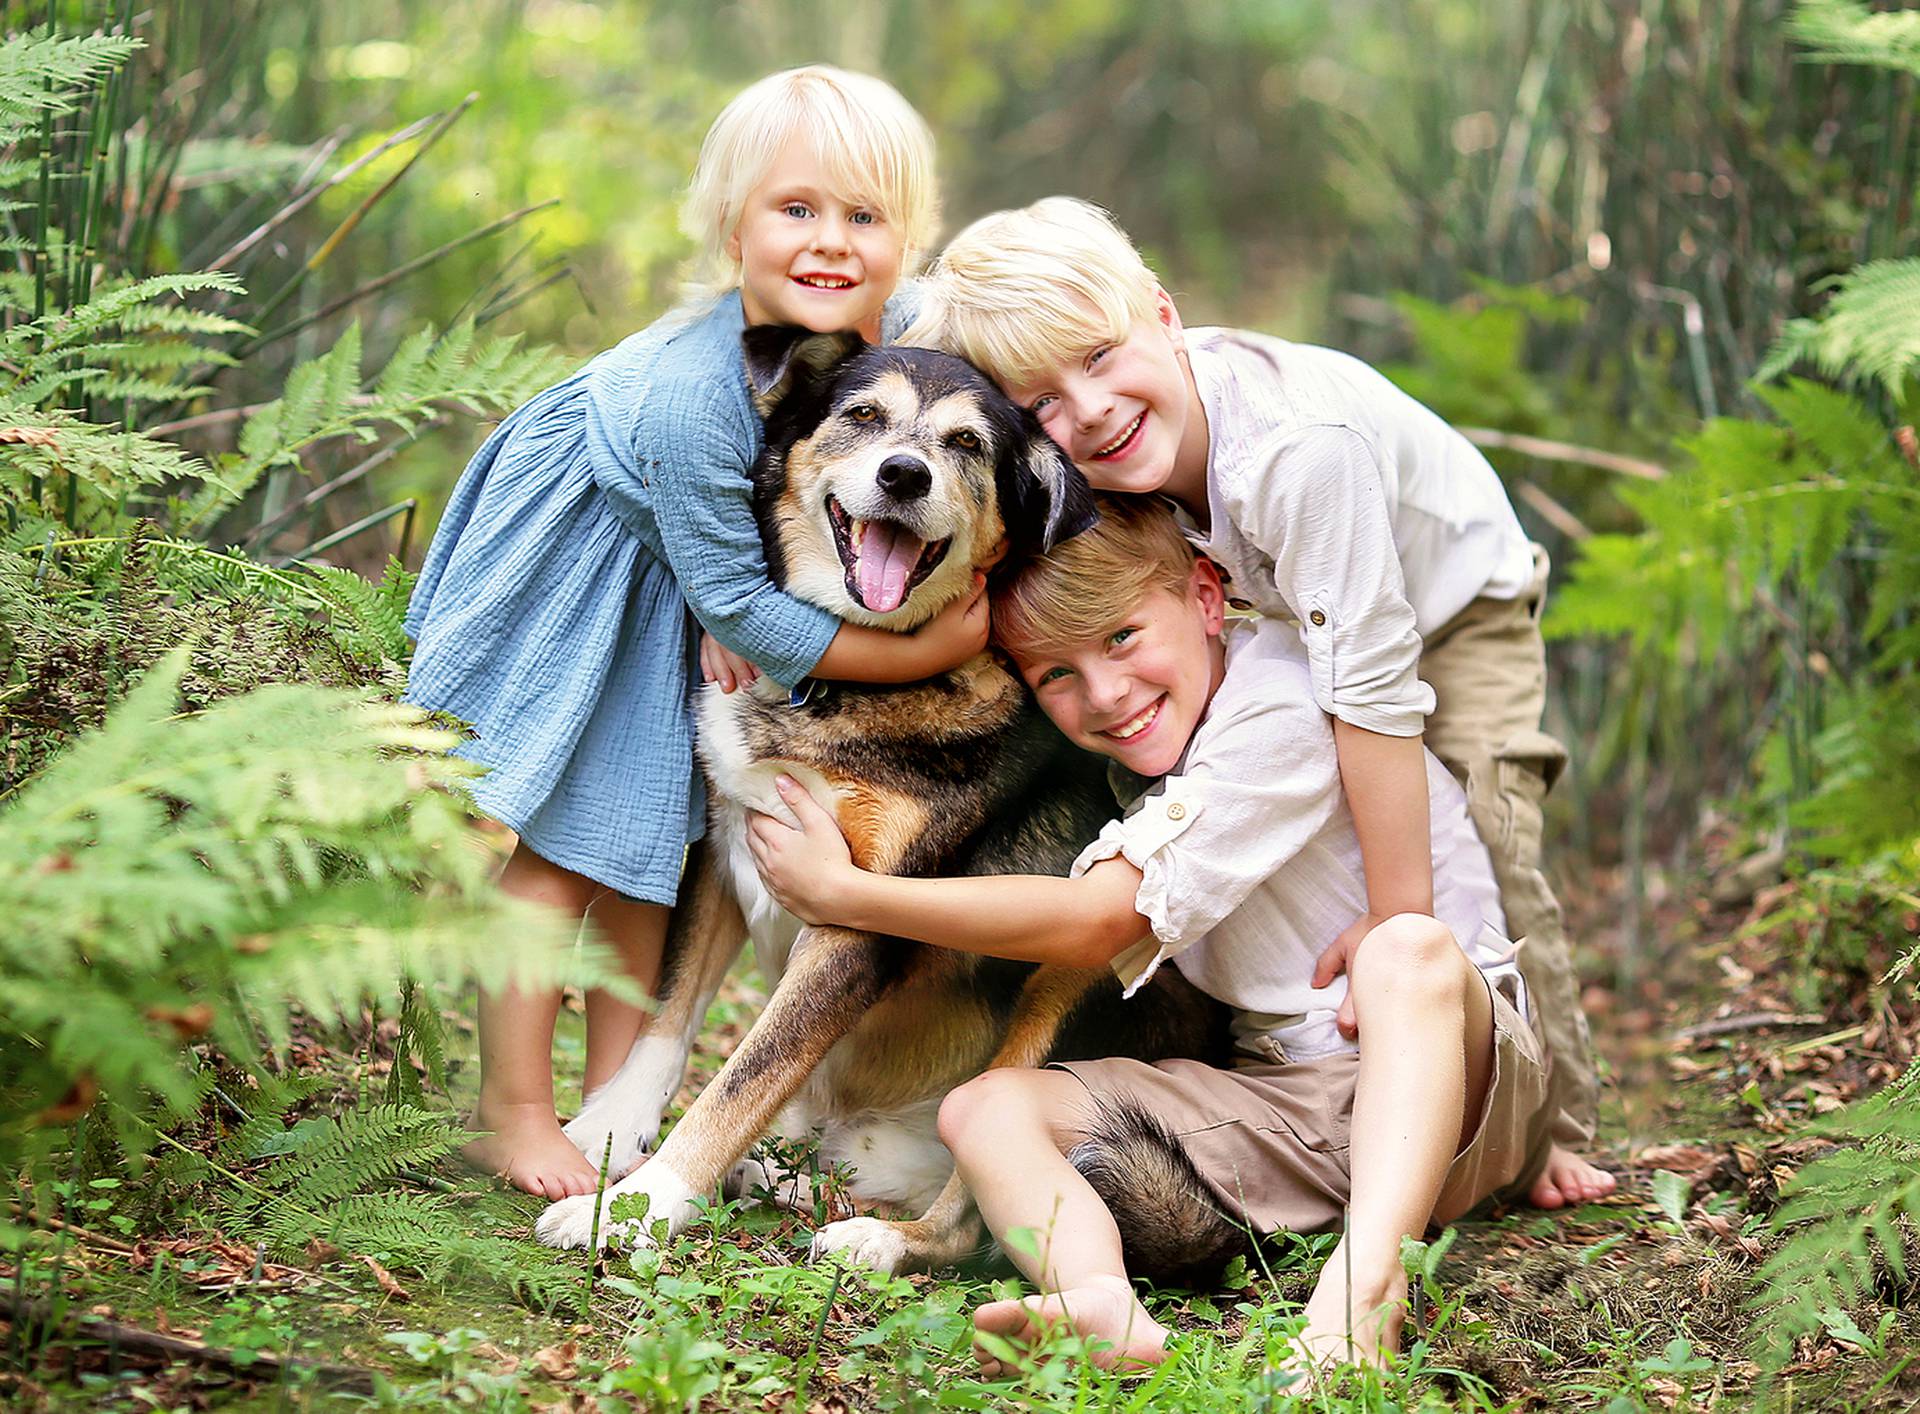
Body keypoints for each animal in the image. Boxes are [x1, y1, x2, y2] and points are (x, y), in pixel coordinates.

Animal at [537, 330, 1228, 1283]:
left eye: (968, 443)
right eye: (864, 416)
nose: (904, 475)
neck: (842, 685)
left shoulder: (851, 923)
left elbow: (742, 1077)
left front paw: (637, 1208)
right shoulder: (725, 848)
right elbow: (668, 1022)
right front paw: (609, 1128)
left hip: (1068, 992)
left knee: (973, 1222)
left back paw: (876, 1238)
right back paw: (782, 1182)